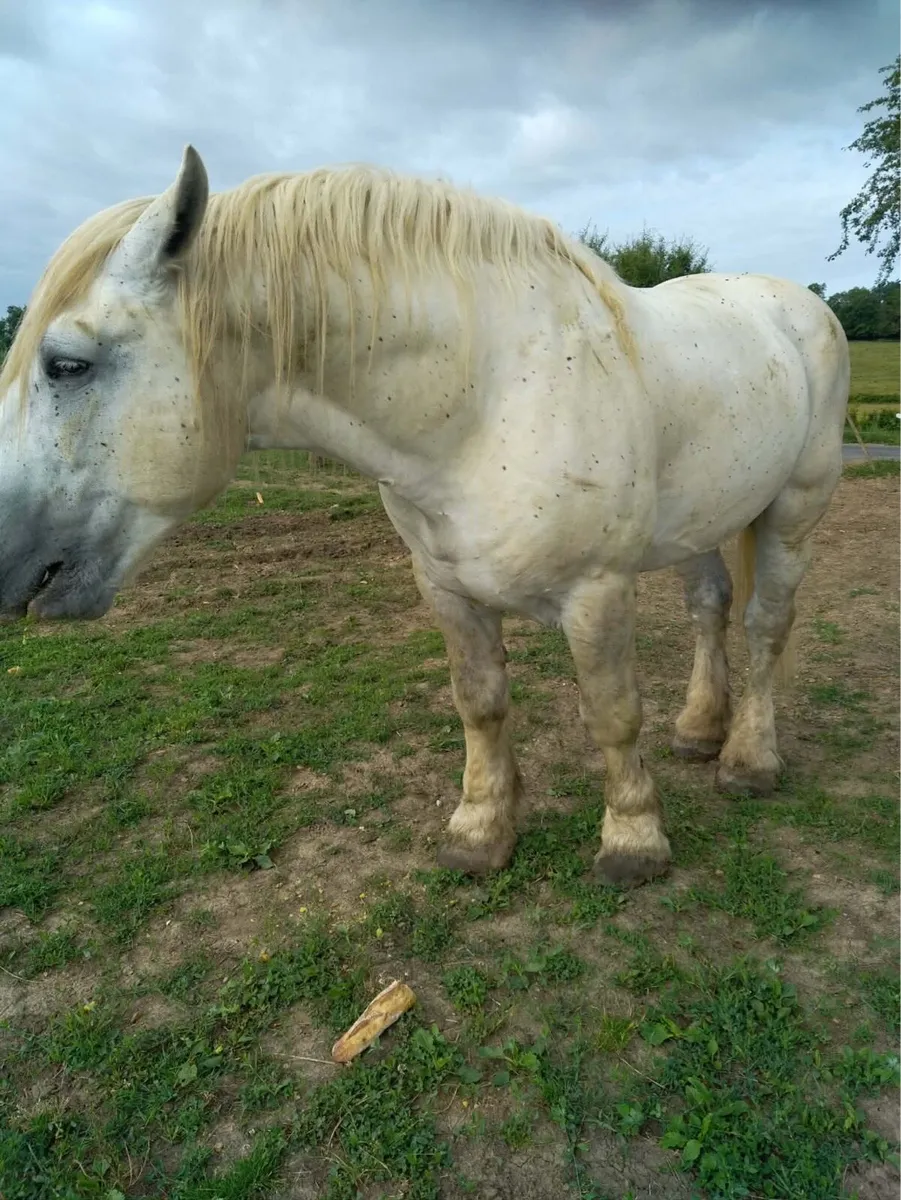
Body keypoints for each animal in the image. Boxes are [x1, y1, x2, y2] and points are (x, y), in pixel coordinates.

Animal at [0, 146, 850, 887]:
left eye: (66, 364)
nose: (7, 565)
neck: (486, 397)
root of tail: (791, 302)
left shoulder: (596, 591)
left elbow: (611, 715)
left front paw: (633, 842)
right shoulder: (444, 587)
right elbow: (479, 704)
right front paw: (479, 832)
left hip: (794, 510)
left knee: (764, 627)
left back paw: (748, 760)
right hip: (700, 518)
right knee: (710, 608)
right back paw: (700, 730)